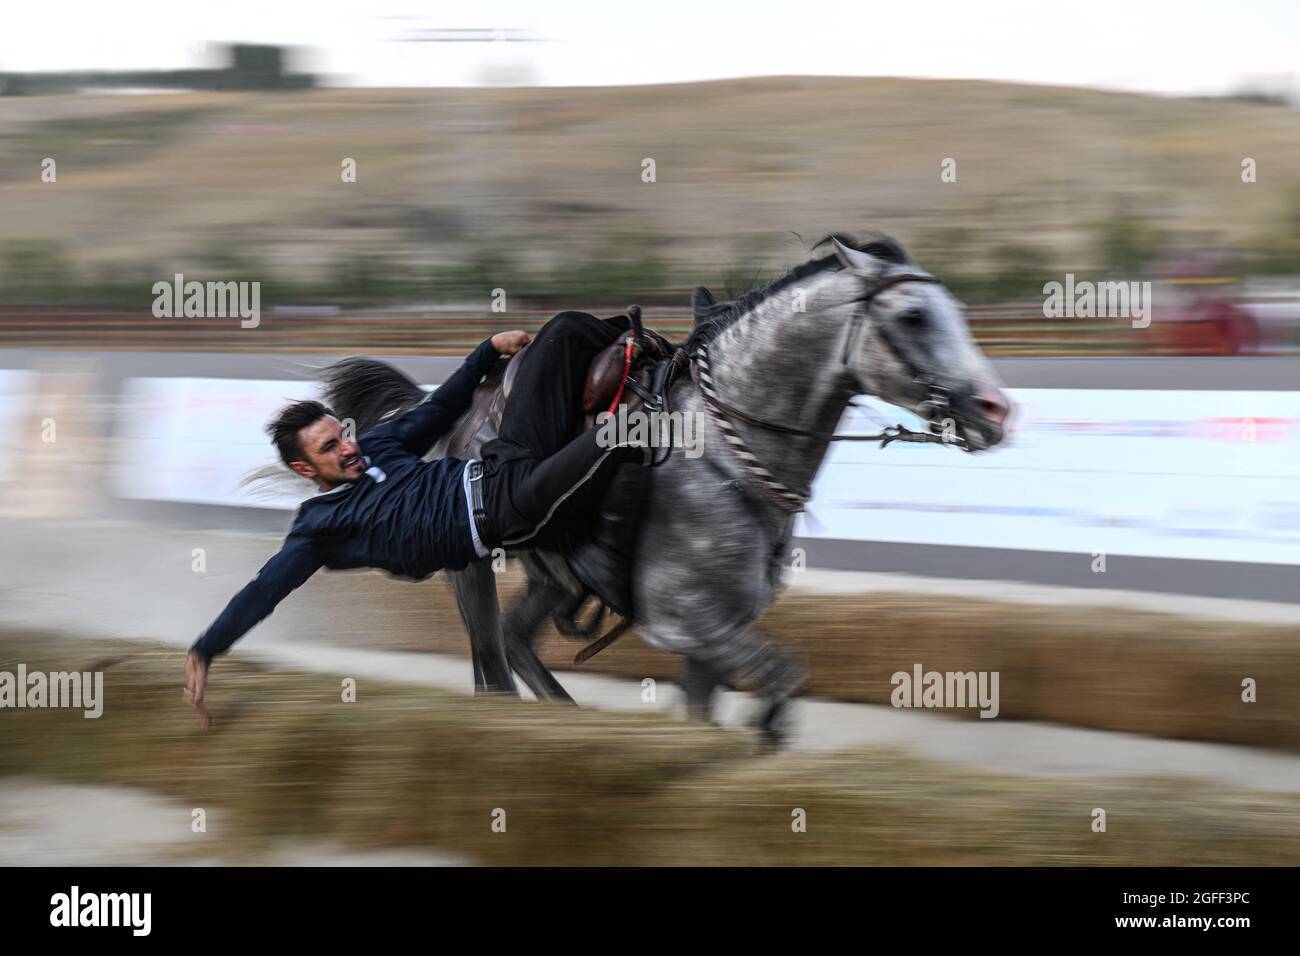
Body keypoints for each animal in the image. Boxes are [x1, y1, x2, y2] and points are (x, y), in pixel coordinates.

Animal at [319, 238, 1008, 738]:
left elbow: (714, 710)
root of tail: (451, 416)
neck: (723, 456)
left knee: (515, 641)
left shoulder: (714, 637)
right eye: (914, 316)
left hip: (551, 575)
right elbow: (782, 682)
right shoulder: (690, 621)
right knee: (492, 665)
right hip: (471, 572)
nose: (995, 409)